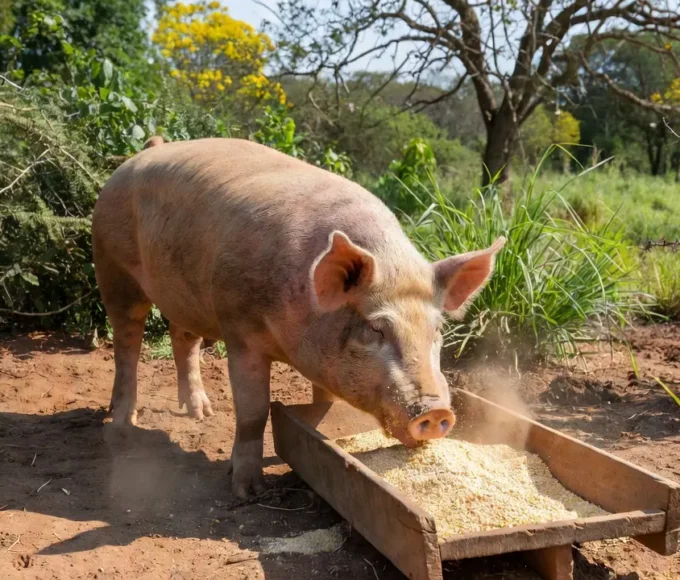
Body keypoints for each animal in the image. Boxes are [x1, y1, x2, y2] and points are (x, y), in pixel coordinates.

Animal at [92, 137, 505, 498]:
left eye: (437, 330)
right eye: (376, 328)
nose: (436, 411)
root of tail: (144, 152)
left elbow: (323, 400)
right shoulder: (239, 329)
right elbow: (254, 412)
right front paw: (247, 493)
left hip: (183, 292)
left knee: (183, 338)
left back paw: (200, 413)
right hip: (112, 266)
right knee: (127, 342)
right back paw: (121, 428)